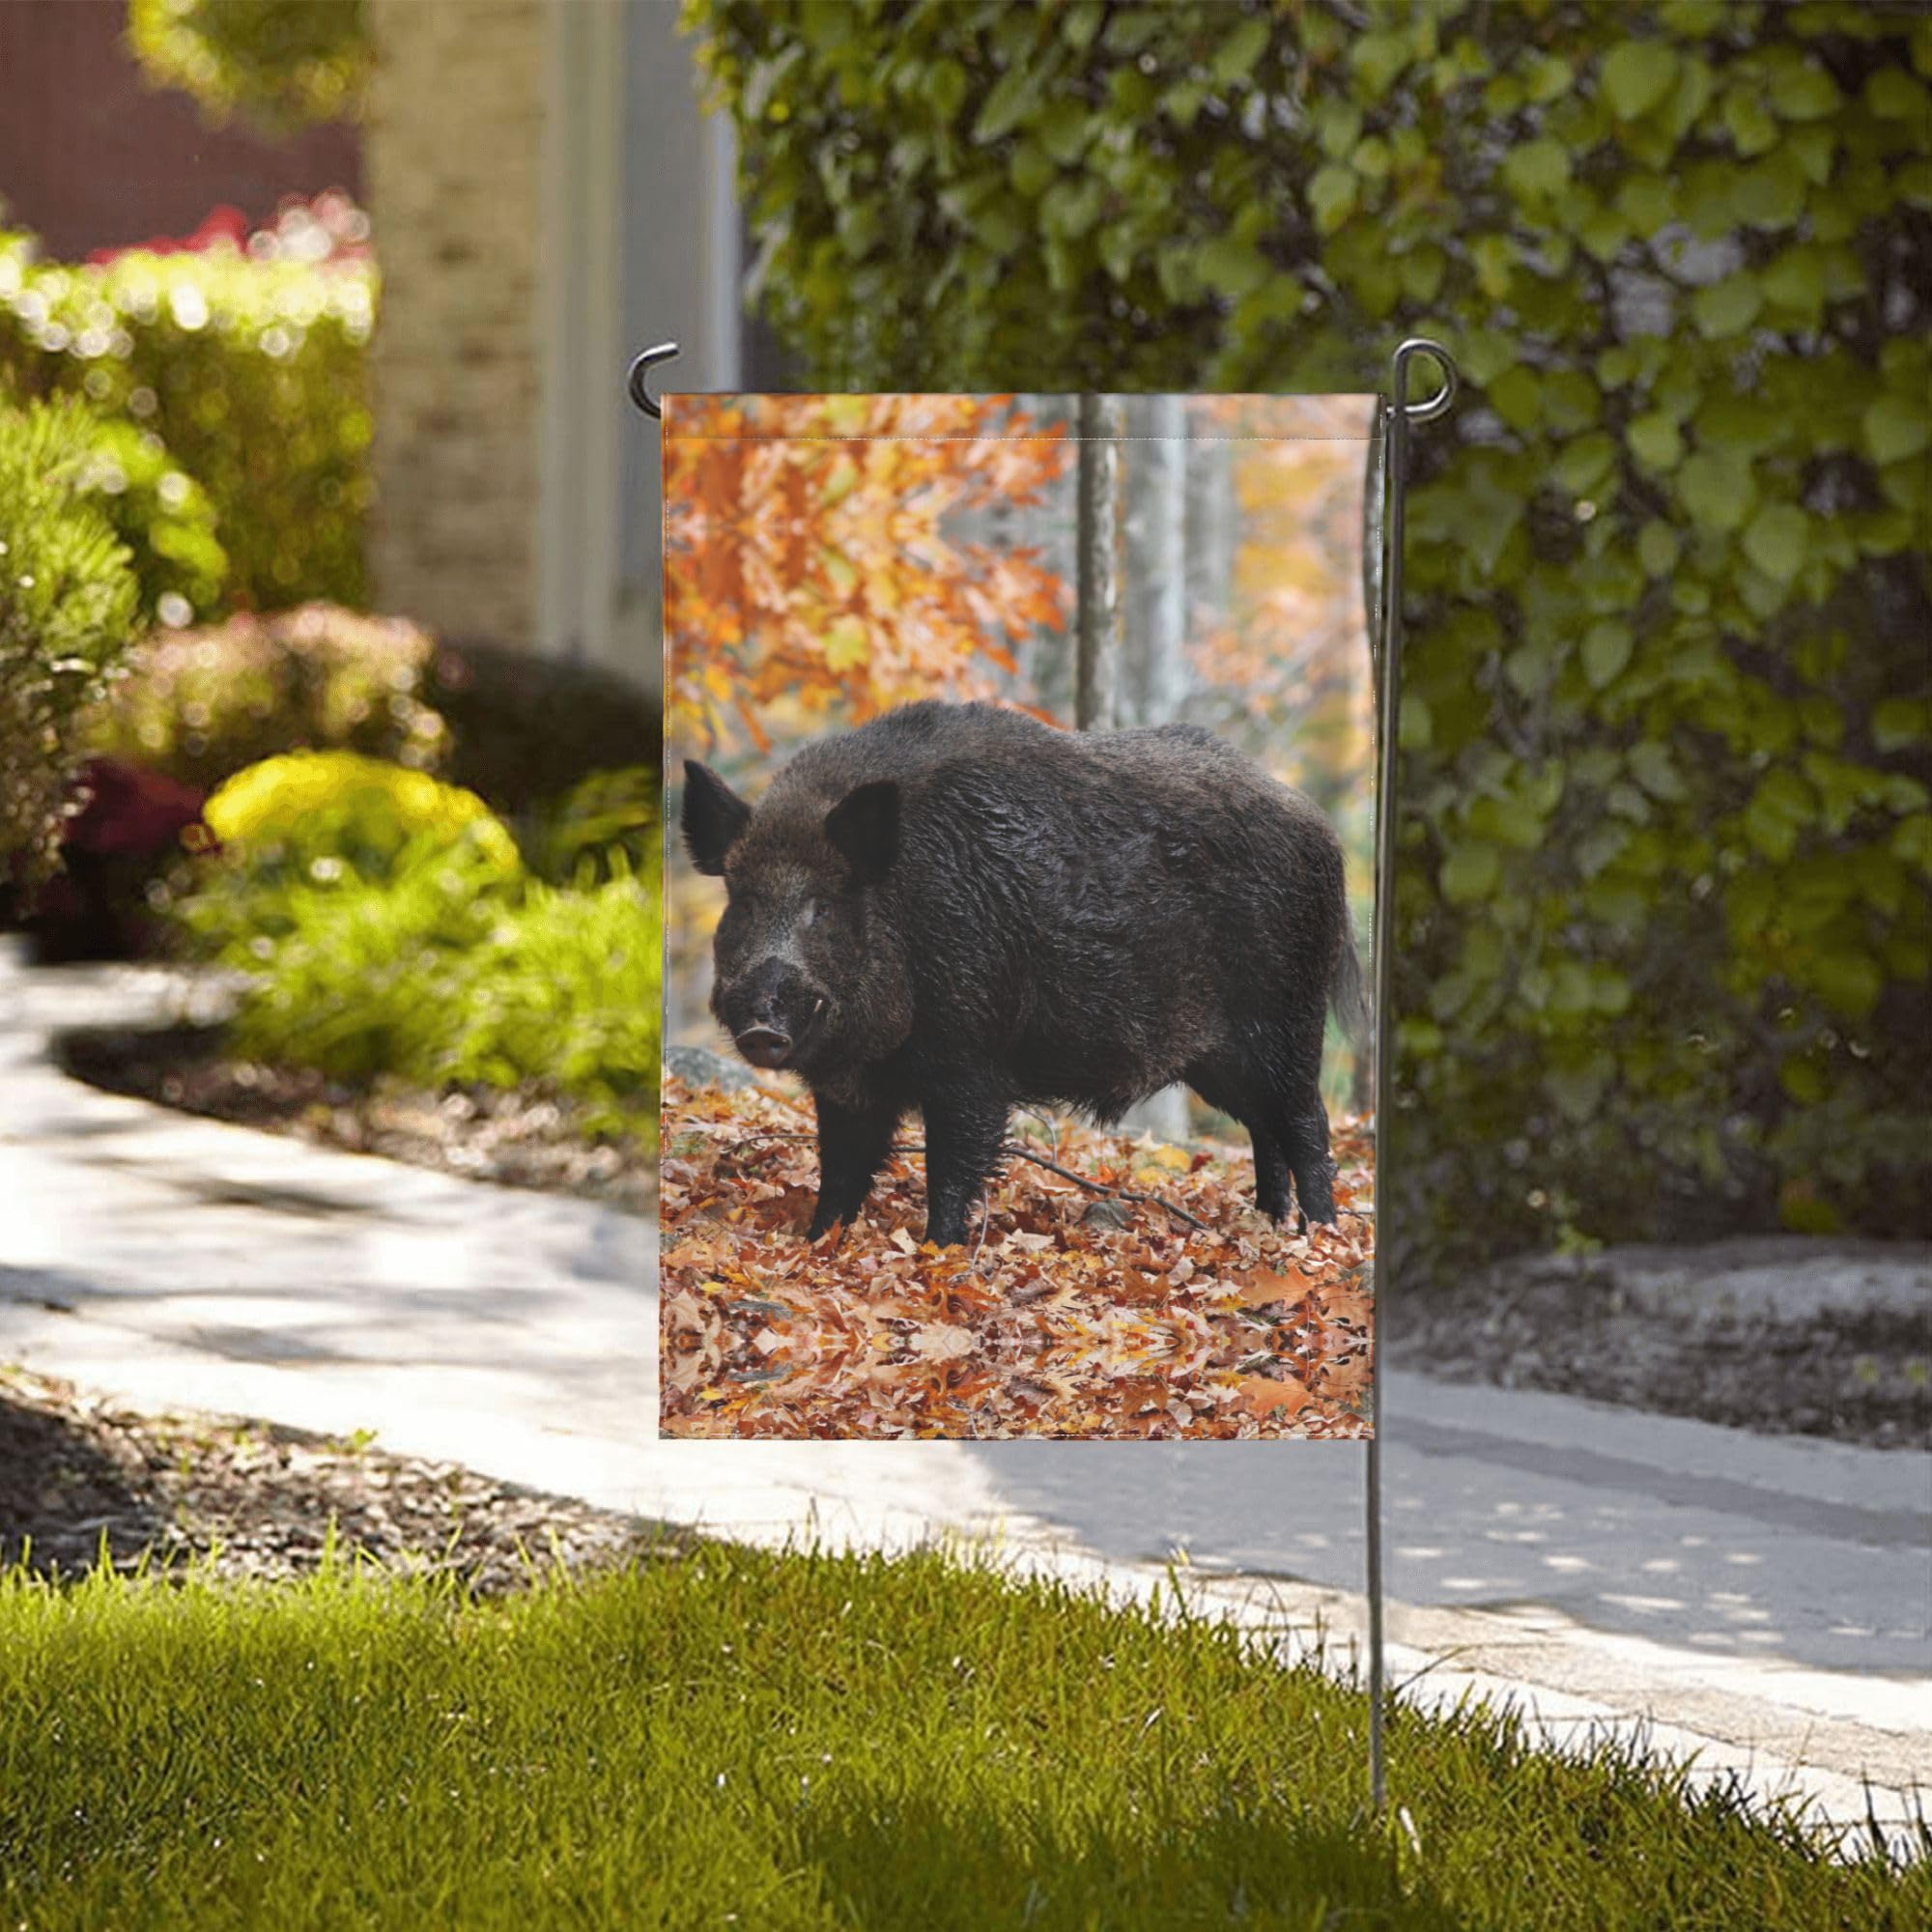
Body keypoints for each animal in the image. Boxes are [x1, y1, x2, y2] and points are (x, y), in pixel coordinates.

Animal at [681, 701, 1364, 1247]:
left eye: (823, 906)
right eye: (743, 902)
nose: (762, 1026)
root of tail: (1321, 830)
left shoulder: (971, 1058)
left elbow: (953, 1162)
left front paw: (941, 1250)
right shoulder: (850, 1084)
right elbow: (842, 1166)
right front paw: (818, 1242)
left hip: (1287, 1021)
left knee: (1307, 1124)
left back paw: (1319, 1236)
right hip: (1222, 1060)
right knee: (1265, 1128)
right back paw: (1271, 1222)